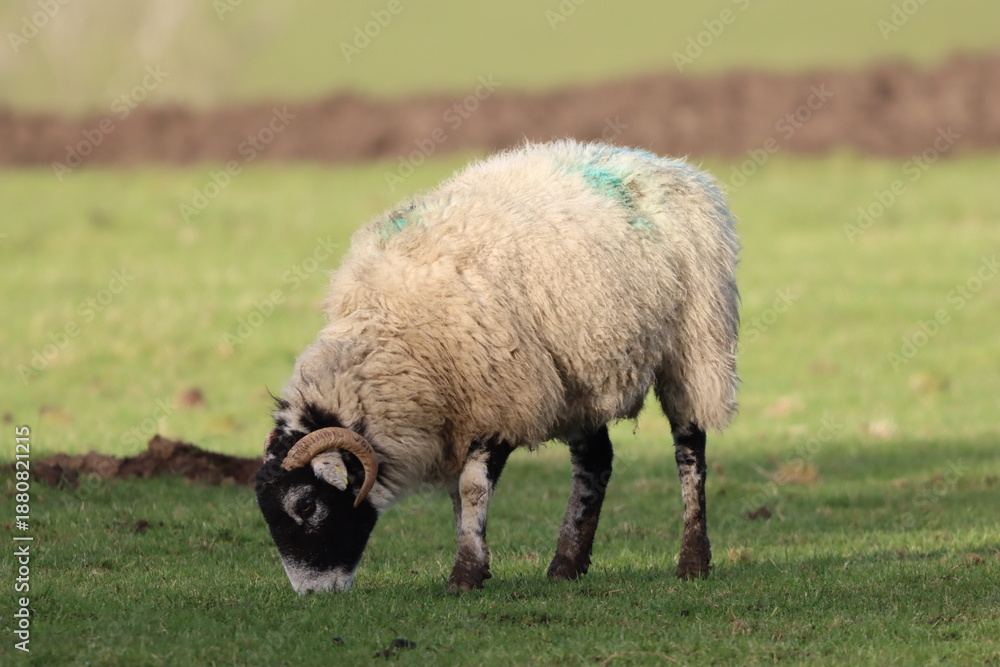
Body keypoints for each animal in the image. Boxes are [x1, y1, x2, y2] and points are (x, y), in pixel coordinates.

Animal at [255, 139, 739, 594]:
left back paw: (692, 561)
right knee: (595, 461)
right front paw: (475, 563)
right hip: (576, 376)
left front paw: (465, 575)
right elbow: (459, 496)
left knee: (689, 449)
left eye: (305, 505)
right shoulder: (461, 414)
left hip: (695, 346)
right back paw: (566, 565)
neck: (393, 332)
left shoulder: (500, 400)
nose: (313, 595)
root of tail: (664, 162)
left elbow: (471, 488)